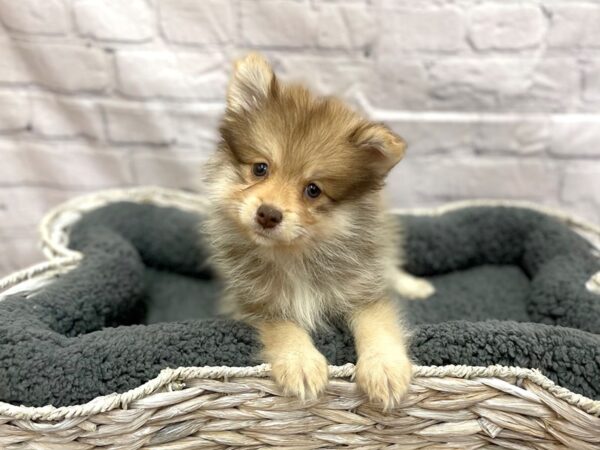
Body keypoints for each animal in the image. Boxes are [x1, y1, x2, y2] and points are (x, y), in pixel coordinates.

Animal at [204, 52, 434, 408]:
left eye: (313, 190)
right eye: (260, 168)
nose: (267, 214)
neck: (296, 255)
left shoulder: (363, 290)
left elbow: (377, 323)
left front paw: (383, 368)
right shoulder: (254, 302)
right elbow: (284, 327)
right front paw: (300, 362)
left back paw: (414, 285)